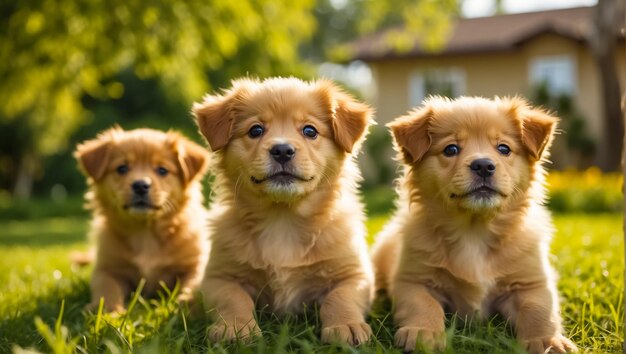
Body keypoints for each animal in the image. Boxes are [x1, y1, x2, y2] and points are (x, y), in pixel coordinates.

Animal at [74, 126, 211, 310]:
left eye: (162, 170)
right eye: (122, 168)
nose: (140, 185)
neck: (145, 232)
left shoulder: (195, 263)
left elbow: (193, 283)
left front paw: (187, 303)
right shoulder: (107, 269)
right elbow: (106, 288)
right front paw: (109, 310)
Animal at [193, 77, 372, 346]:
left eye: (310, 131)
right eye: (255, 130)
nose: (282, 150)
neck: (283, 218)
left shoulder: (355, 274)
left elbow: (340, 297)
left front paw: (346, 325)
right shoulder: (219, 277)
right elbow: (233, 298)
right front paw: (235, 327)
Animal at [370, 97, 576, 354]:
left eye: (504, 148)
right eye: (451, 149)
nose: (483, 165)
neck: (475, 231)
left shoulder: (531, 283)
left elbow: (538, 309)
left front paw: (547, 341)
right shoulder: (413, 279)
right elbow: (423, 304)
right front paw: (423, 332)